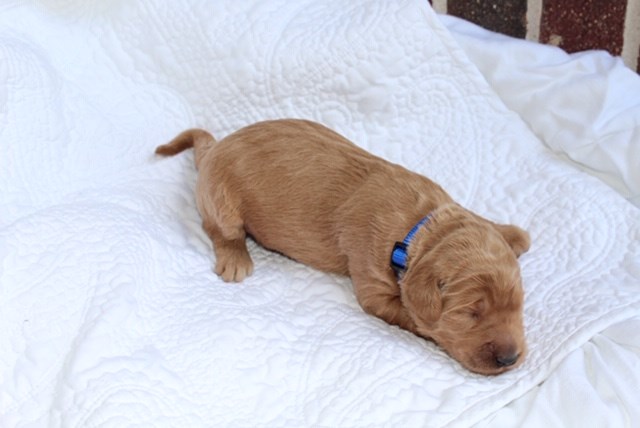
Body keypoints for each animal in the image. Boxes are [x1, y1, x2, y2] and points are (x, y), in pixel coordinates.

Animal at [156, 118, 528, 374]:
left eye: (519, 305)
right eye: (471, 313)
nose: (510, 358)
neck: (418, 229)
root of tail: (214, 148)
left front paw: (511, 233)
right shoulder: (374, 286)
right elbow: (415, 317)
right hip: (221, 200)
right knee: (219, 229)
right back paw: (235, 258)